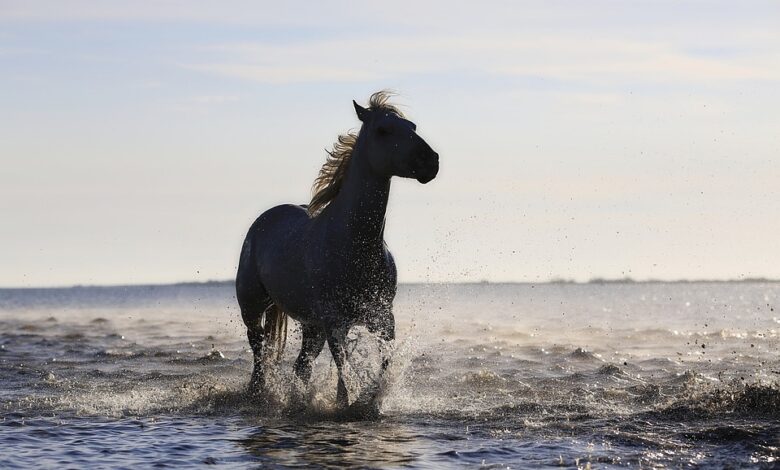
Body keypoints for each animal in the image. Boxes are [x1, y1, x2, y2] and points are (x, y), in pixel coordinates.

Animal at [235, 90, 436, 410]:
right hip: (253, 307)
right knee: (260, 354)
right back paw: (259, 394)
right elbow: (344, 366)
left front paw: (367, 399)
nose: (431, 161)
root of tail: (264, 219)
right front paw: (348, 401)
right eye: (383, 130)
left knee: (301, 366)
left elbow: (383, 362)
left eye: (413, 127)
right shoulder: (334, 321)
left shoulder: (381, 317)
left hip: (311, 326)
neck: (355, 245)